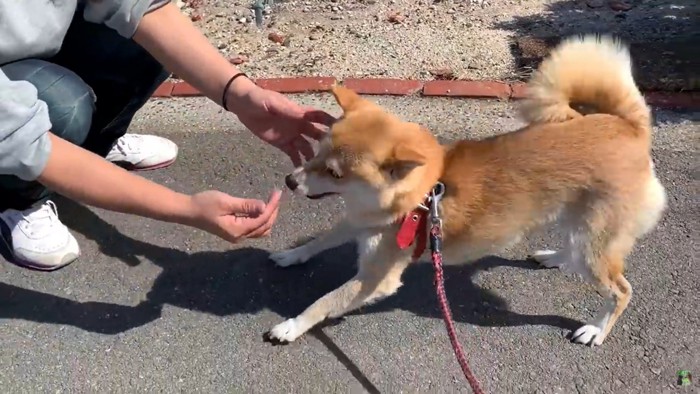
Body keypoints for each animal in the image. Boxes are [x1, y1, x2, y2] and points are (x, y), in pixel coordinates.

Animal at [264, 34, 668, 348]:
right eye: (316, 152)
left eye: (335, 173)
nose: (290, 182)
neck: (421, 196)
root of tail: (629, 127)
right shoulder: (358, 221)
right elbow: (321, 240)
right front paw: (293, 255)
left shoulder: (375, 278)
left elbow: (324, 302)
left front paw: (290, 326)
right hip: (579, 223)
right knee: (575, 250)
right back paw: (554, 257)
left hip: (595, 238)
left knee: (620, 290)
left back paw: (596, 330)